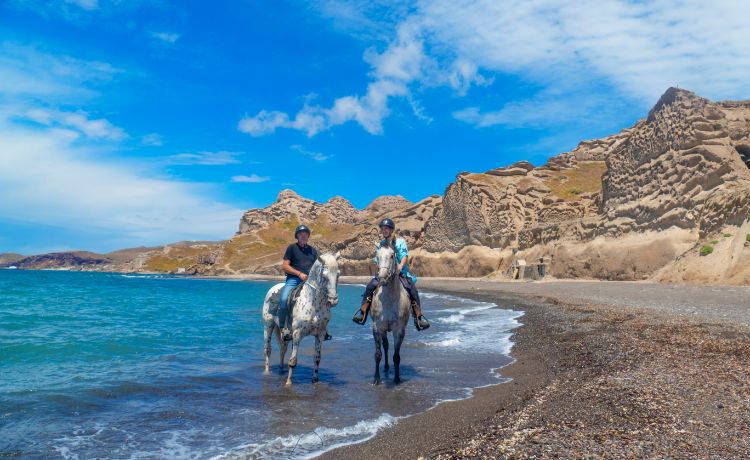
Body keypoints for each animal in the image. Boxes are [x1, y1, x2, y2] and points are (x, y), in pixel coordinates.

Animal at [260, 252, 340, 384]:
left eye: (338, 274)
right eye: (324, 276)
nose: (333, 300)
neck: (313, 303)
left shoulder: (320, 334)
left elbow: (317, 359)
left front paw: (315, 381)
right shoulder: (297, 334)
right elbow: (293, 361)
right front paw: (288, 383)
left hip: (285, 333)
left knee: (283, 348)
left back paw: (281, 371)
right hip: (268, 326)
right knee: (268, 350)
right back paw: (266, 372)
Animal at [370, 244, 412, 384]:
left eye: (392, 255)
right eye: (377, 256)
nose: (382, 278)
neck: (388, 300)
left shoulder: (399, 330)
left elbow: (396, 356)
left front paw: (397, 378)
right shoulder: (377, 328)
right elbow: (378, 354)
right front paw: (376, 379)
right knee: (386, 346)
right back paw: (386, 367)